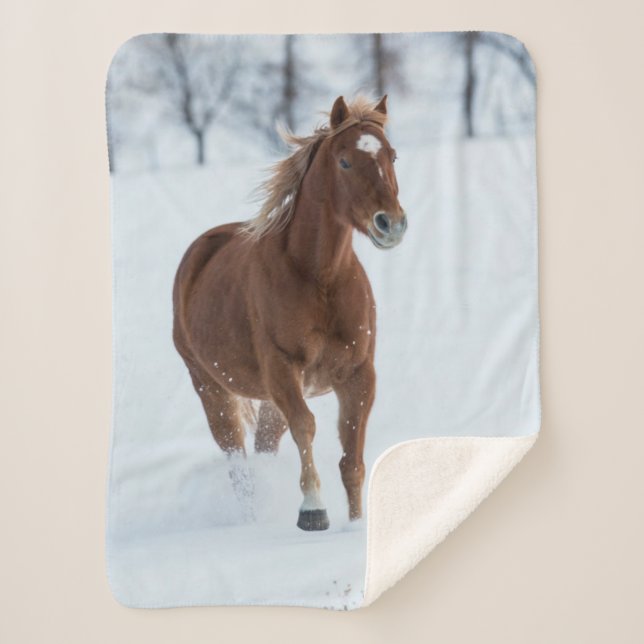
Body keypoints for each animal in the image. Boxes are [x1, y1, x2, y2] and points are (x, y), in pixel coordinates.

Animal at [172, 95, 407, 531]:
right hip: (211, 388)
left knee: (264, 446)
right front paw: (313, 511)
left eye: (392, 156)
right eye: (345, 162)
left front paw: (355, 524)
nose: (391, 224)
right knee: (238, 461)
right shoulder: (283, 368)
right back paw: (251, 521)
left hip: (267, 399)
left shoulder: (358, 374)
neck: (319, 277)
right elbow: (306, 427)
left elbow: (352, 457)